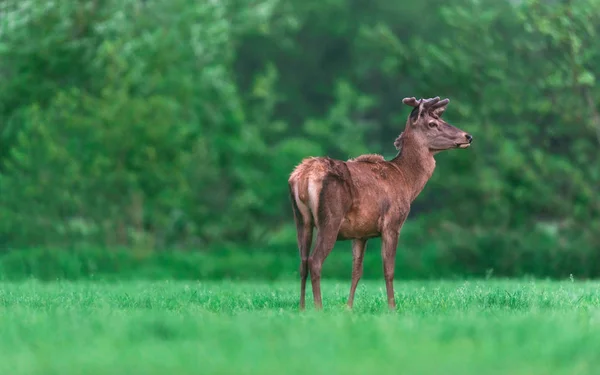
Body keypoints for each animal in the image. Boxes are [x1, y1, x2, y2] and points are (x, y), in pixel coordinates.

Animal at [288, 97, 472, 312]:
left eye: (441, 119)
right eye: (432, 123)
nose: (468, 136)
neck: (407, 182)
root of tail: (303, 176)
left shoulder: (360, 233)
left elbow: (356, 271)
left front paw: (349, 308)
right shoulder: (392, 223)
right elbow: (389, 269)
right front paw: (392, 308)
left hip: (301, 220)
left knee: (302, 263)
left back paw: (302, 308)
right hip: (330, 218)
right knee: (315, 261)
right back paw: (319, 308)